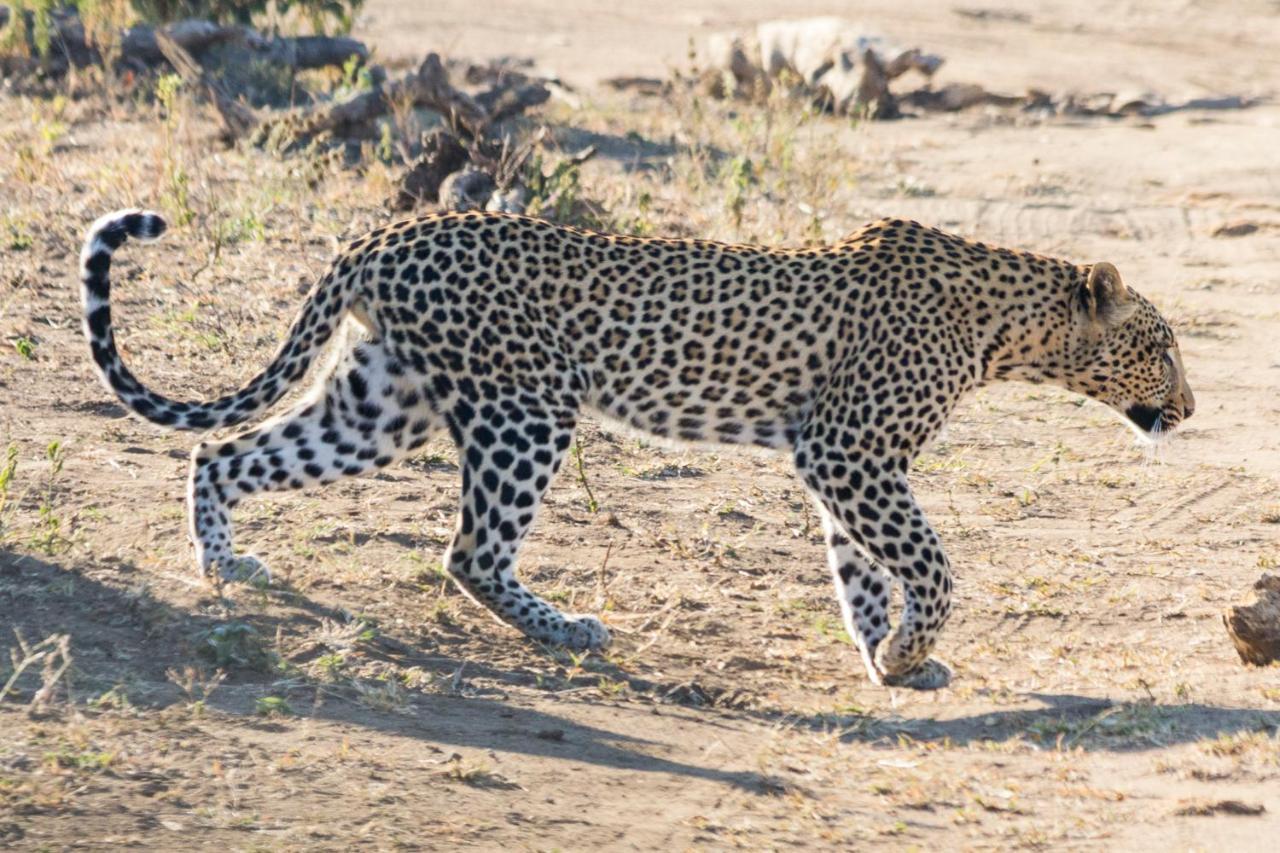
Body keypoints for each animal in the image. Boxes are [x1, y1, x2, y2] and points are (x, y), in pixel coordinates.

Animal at [82, 208, 1187, 686]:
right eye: (1162, 342)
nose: (1188, 403)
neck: (1012, 329)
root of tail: (384, 229)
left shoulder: (845, 463)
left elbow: (863, 567)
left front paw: (888, 656)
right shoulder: (847, 451)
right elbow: (929, 562)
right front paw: (908, 647)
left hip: (381, 400)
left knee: (224, 454)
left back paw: (225, 567)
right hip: (526, 408)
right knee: (468, 552)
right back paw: (568, 630)